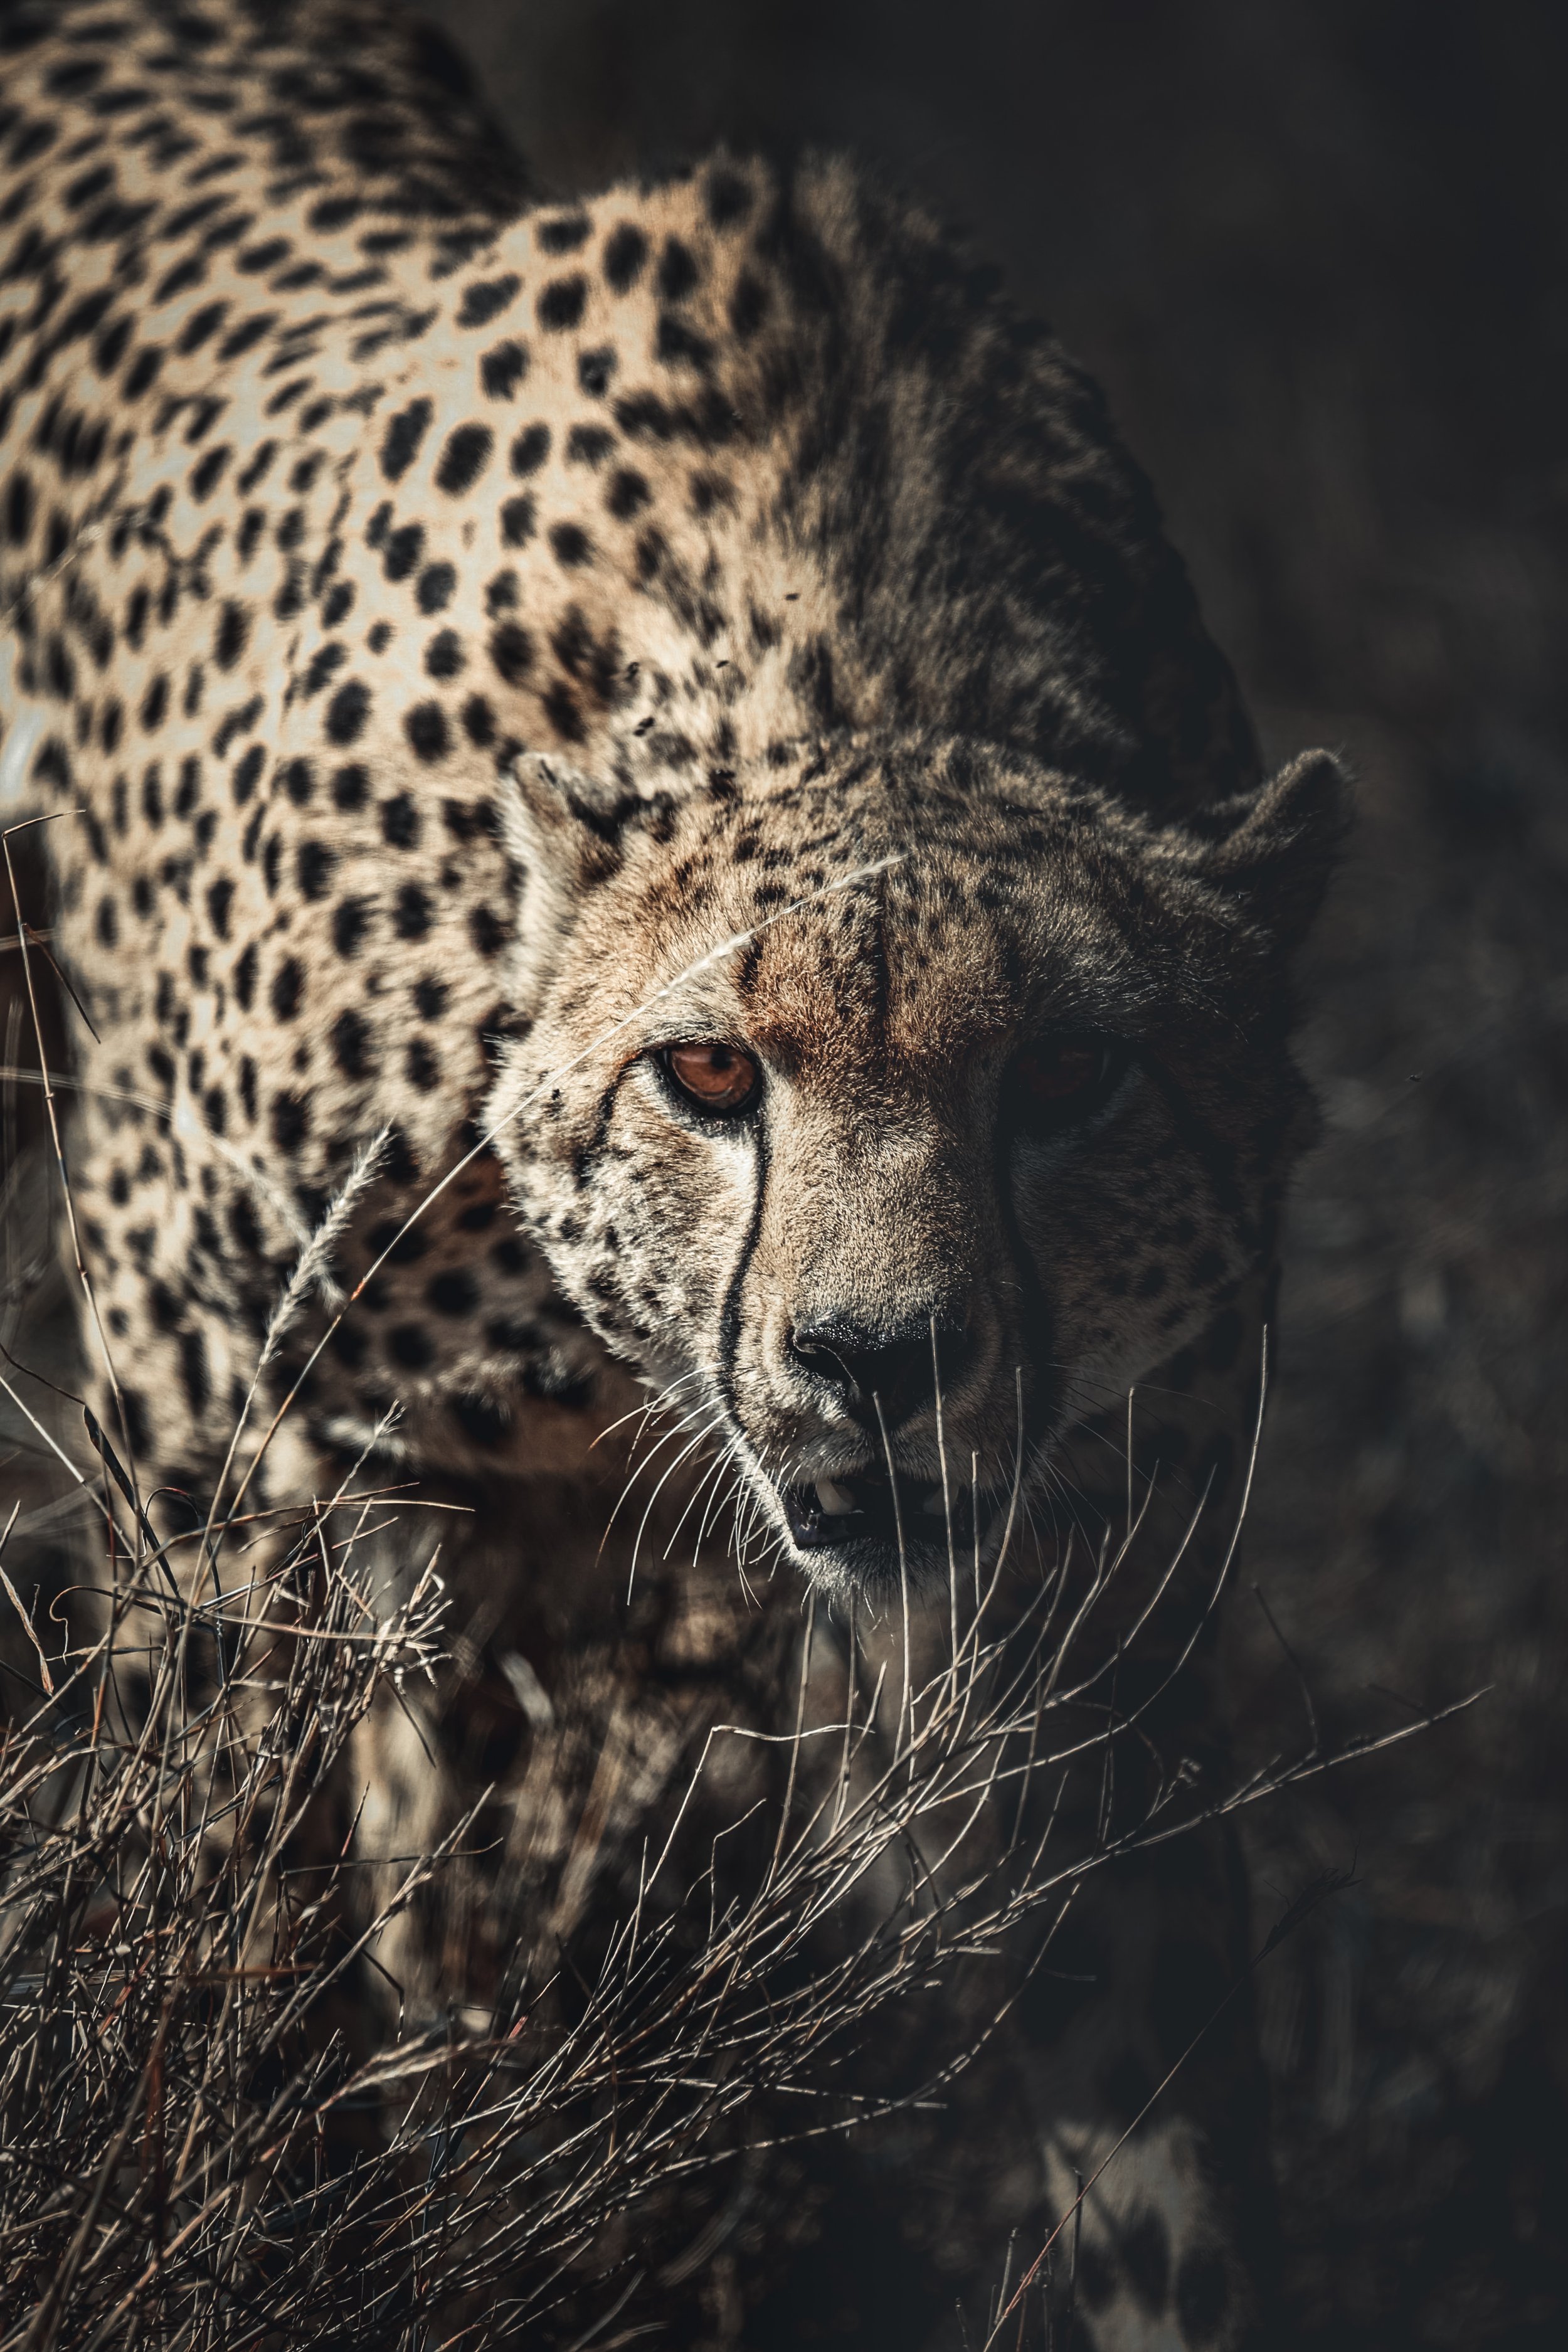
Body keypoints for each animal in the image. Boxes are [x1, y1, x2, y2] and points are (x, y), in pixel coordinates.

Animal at [0, 2, 1346, 2345]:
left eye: (1074, 1076)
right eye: (709, 1072)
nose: (877, 1357)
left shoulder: (1078, 1601)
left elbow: (1161, 2138)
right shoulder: (195, 1387)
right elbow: (241, 1921)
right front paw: (243, 2209)